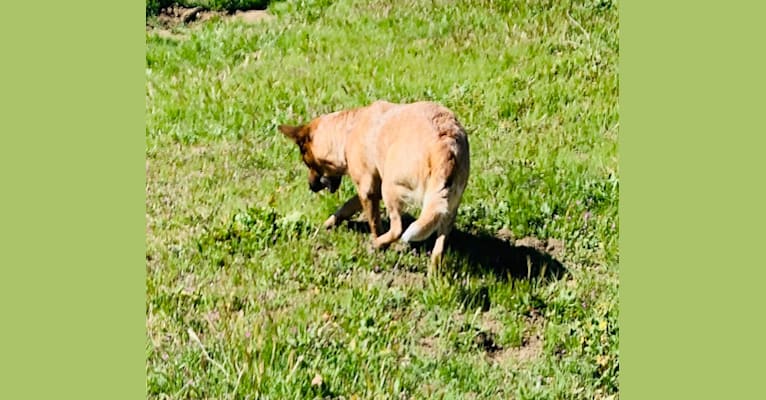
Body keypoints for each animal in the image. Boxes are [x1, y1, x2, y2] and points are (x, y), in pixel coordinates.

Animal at [280, 101, 472, 276]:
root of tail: (445, 147)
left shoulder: (368, 189)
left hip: (390, 188)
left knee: (397, 230)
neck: (348, 130)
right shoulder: (372, 188)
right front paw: (329, 223)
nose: (310, 187)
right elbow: (346, 207)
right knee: (439, 247)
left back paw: (377, 244)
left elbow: (374, 222)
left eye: (307, 162)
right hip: (447, 208)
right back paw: (433, 274)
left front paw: (377, 242)